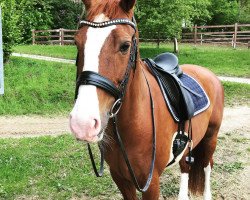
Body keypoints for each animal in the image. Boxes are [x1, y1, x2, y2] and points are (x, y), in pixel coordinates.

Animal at [69, 0, 224, 199]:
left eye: (125, 46)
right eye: (77, 43)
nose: (83, 124)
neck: (135, 122)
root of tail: (209, 74)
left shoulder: (150, 183)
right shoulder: (120, 178)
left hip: (210, 138)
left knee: (206, 165)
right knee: (185, 165)